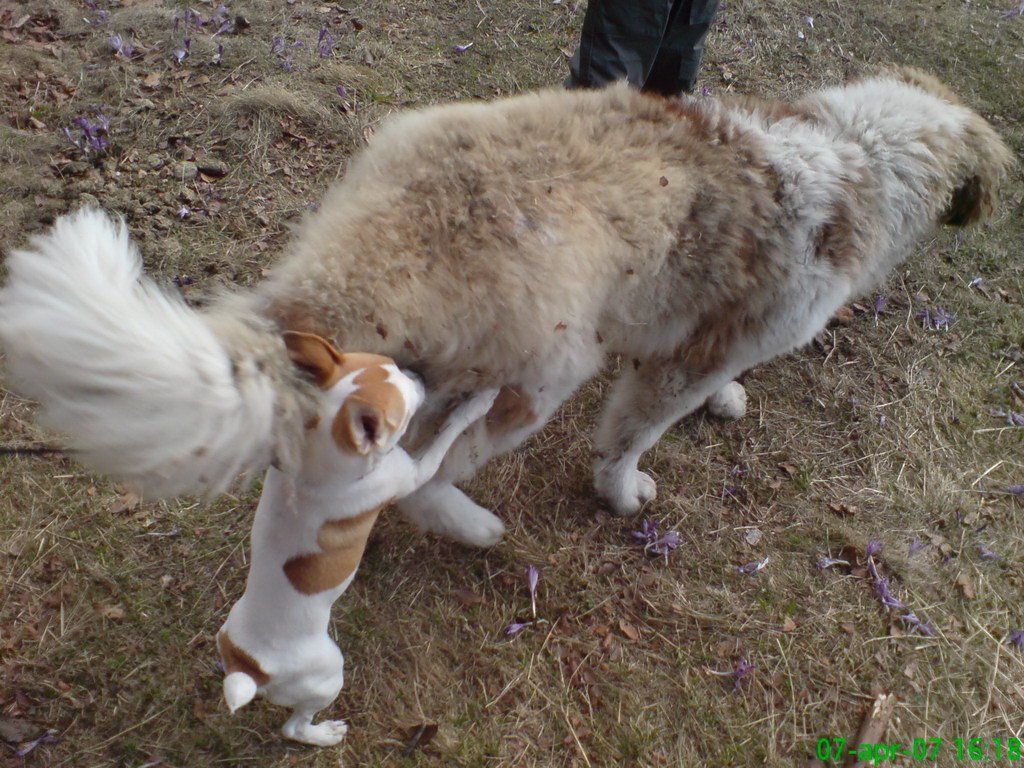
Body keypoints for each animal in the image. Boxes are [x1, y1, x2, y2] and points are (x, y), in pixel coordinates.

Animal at [0, 67, 1007, 548]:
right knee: (420, 476)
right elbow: (630, 439)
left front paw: (728, 403)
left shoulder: (698, 339)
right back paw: (473, 527)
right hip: (544, 373)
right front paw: (623, 494)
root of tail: (377, 239)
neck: (859, 155)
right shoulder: (670, 368)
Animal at [218, 333, 497, 749]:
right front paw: (477, 403)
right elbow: (444, 436)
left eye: (394, 365)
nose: (419, 373)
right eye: (406, 403)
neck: (319, 459)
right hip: (328, 675)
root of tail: (249, 666)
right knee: (294, 726)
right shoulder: (412, 473)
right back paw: (325, 734)